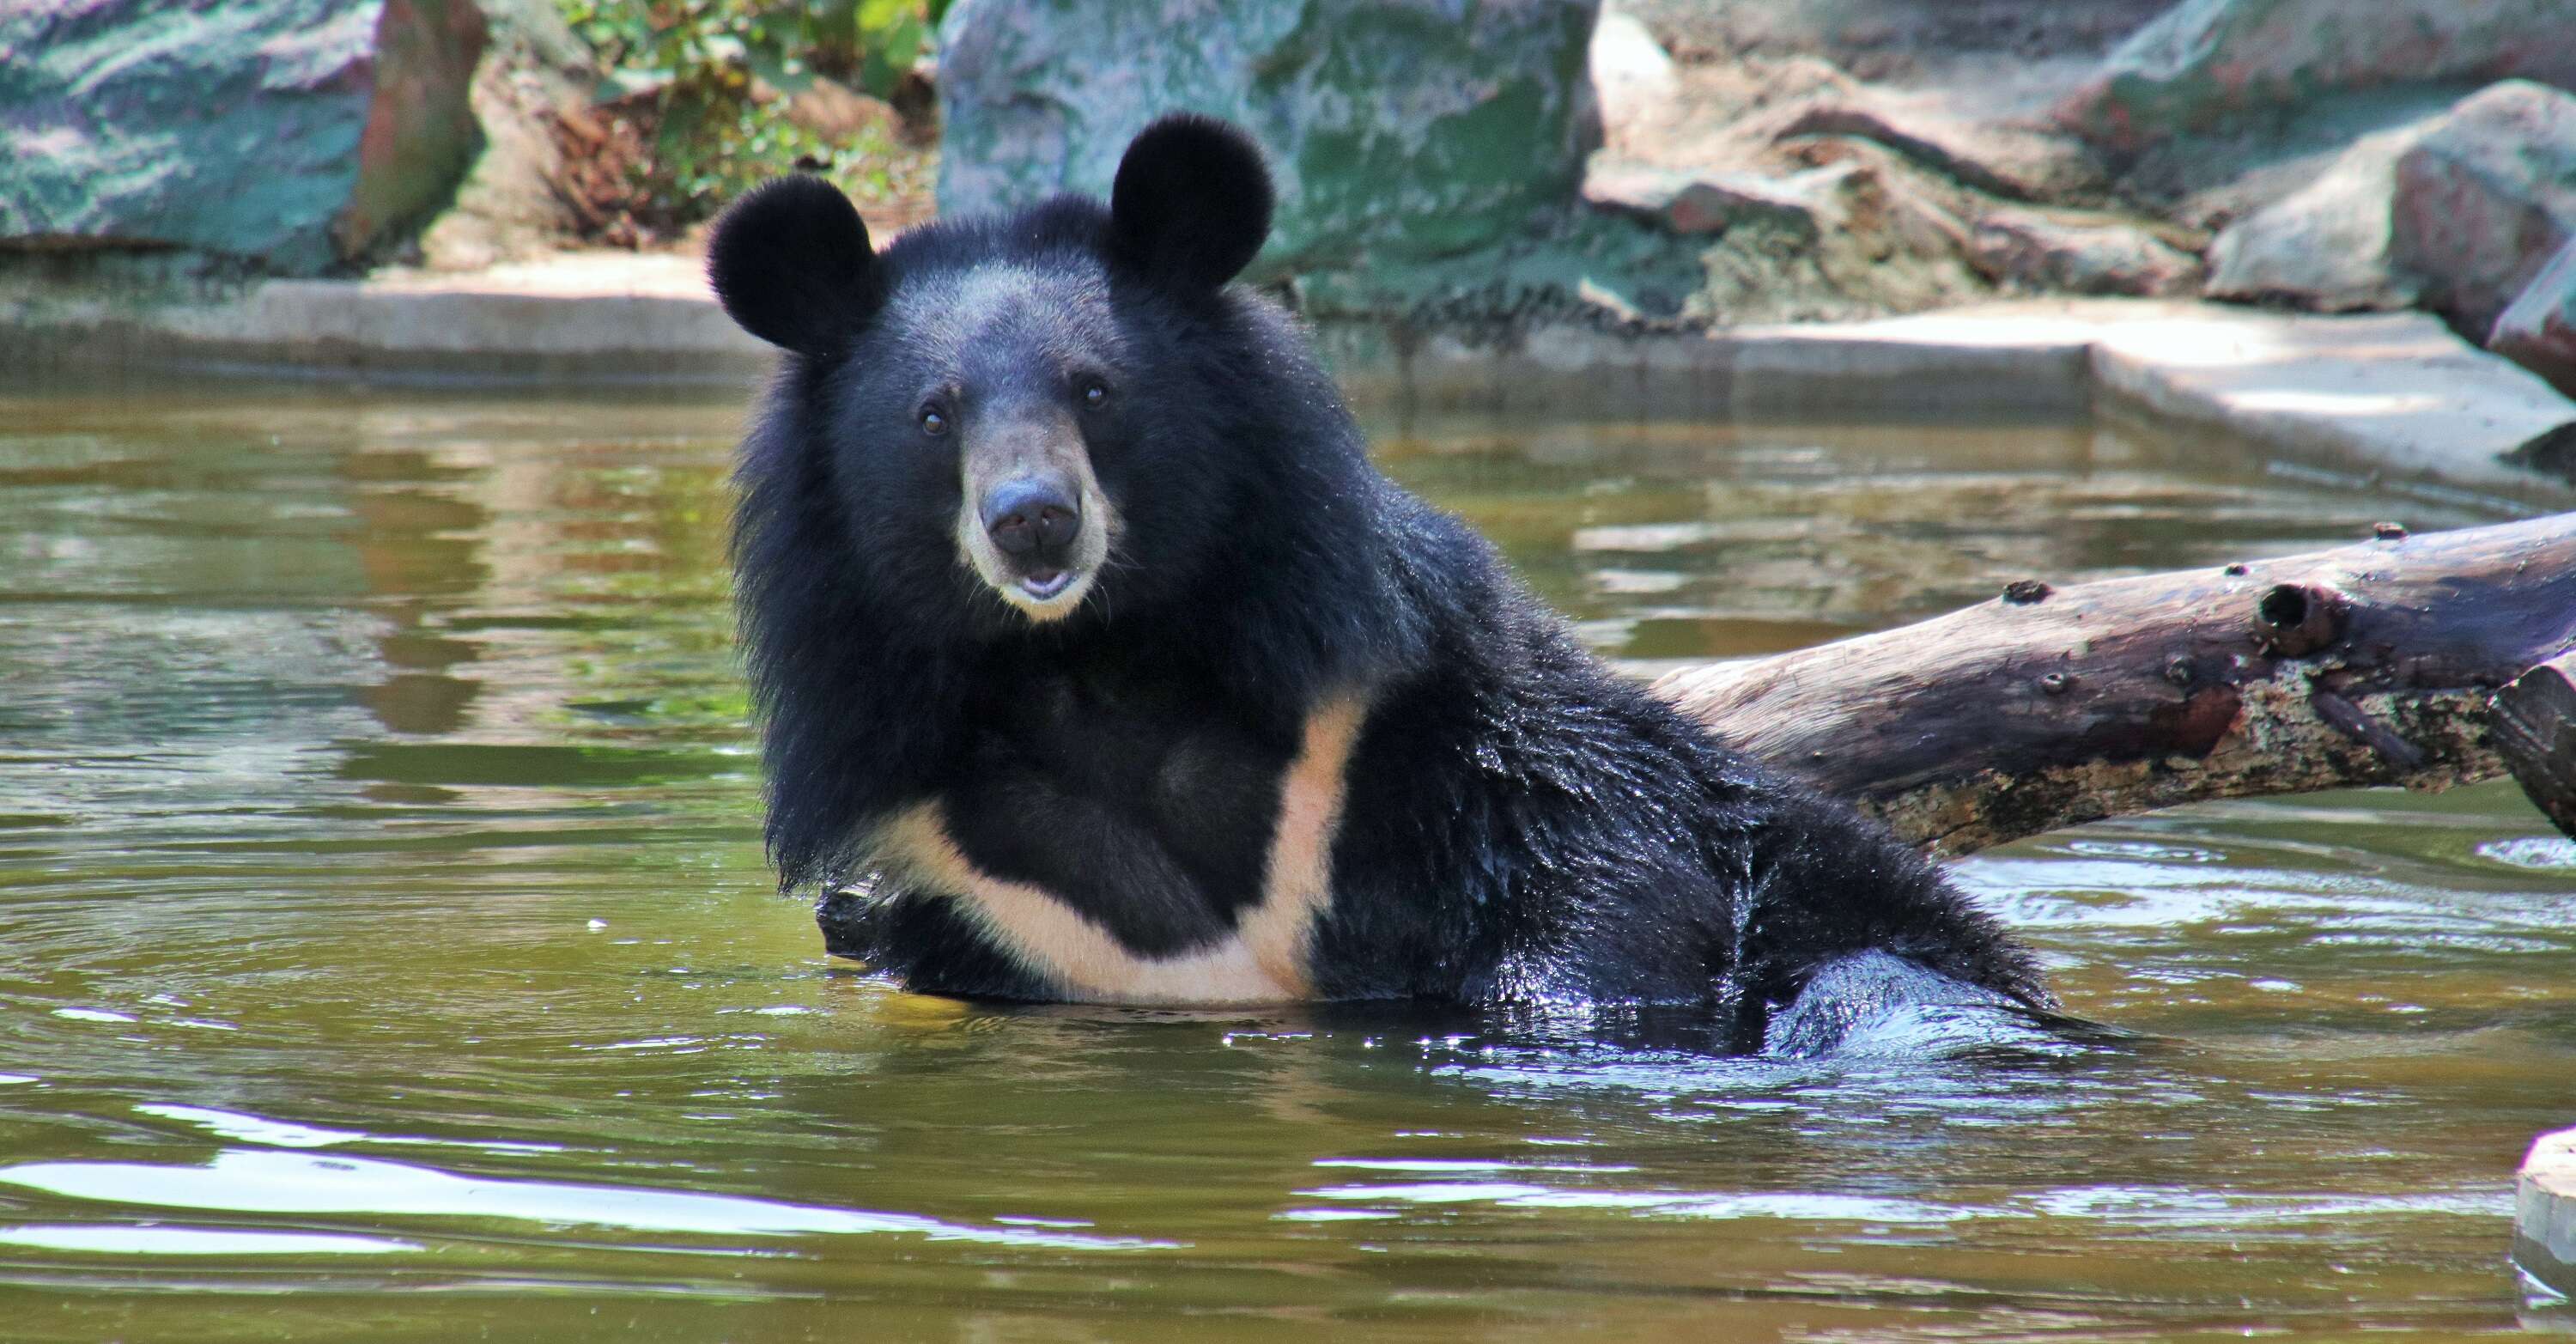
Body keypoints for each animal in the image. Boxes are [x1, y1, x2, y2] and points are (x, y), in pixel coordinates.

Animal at [705, 113, 2055, 1054]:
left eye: (1095, 388)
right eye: (936, 416)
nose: (1035, 522)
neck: (1094, 664)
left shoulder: (1414, 718)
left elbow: (1617, 872)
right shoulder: (971, 874)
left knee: (1884, 981)